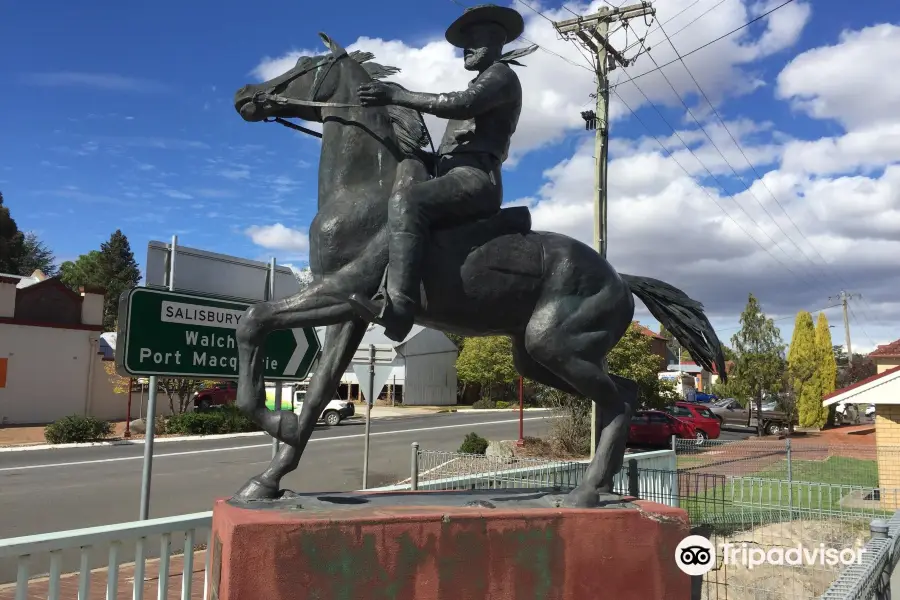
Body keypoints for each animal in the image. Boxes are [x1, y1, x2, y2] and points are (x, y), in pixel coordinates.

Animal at [230, 32, 724, 508]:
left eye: (302, 65)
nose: (244, 93)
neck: (361, 192)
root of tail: (621, 280)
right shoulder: (348, 313)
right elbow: (319, 387)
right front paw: (267, 478)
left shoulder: (344, 291)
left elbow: (255, 321)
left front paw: (276, 422)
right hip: (544, 356)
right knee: (623, 392)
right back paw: (601, 486)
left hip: (554, 345)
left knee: (617, 401)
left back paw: (585, 493)